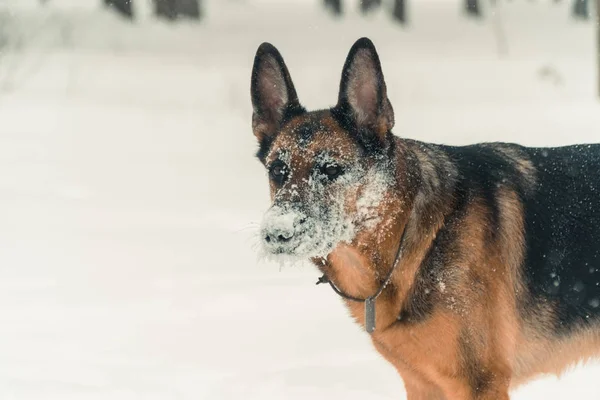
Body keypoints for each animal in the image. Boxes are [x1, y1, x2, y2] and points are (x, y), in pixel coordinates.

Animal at [247, 36, 600, 398]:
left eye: (331, 170)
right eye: (278, 170)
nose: (276, 233)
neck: (411, 242)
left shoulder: (481, 385)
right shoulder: (422, 384)